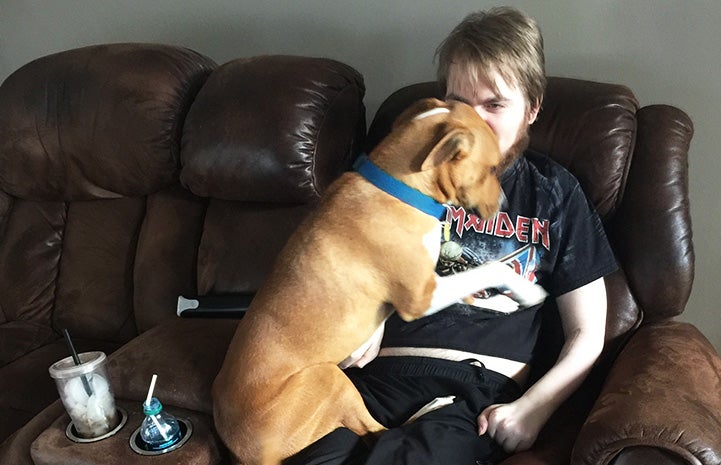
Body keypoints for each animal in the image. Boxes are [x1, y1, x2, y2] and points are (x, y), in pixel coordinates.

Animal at [211, 96, 548, 462]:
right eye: (491, 169)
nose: (503, 202)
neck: (398, 188)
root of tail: (245, 455)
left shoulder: (436, 280)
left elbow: (472, 286)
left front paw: (506, 303)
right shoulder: (421, 295)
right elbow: (489, 270)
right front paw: (529, 293)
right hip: (329, 380)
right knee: (379, 433)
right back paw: (435, 403)